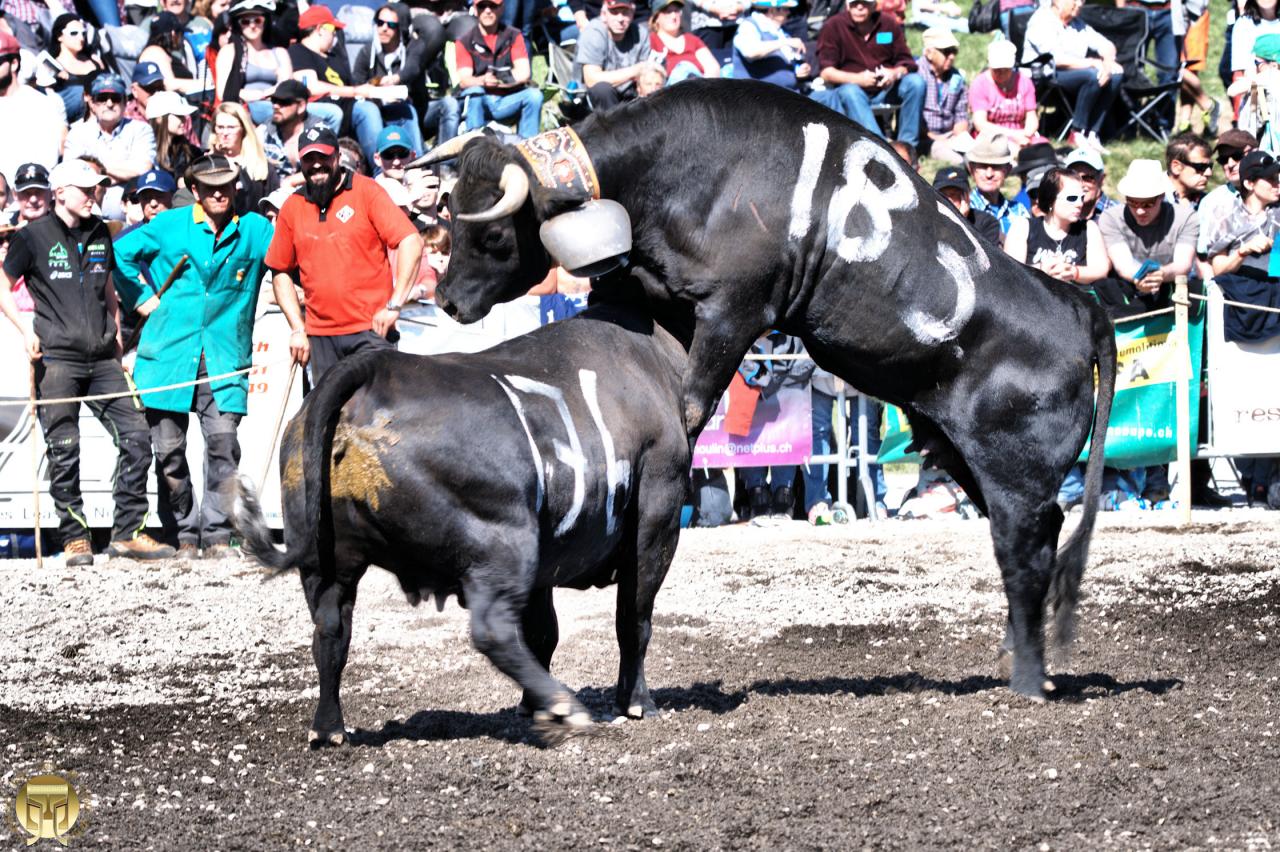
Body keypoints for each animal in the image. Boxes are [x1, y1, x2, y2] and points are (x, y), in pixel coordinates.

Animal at [230, 301, 691, 741]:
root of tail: (375, 369)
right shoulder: (658, 514)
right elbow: (633, 617)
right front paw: (635, 702)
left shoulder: (548, 559)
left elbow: (545, 629)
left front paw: (532, 704)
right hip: (504, 542)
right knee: (493, 630)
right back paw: (566, 708)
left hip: (327, 559)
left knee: (330, 630)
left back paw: (328, 728)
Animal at [414, 79, 1116, 701]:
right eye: (446, 215)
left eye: (494, 234)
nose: (446, 299)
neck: (682, 169)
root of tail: (1080, 307)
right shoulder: (652, 291)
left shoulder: (734, 313)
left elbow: (691, 407)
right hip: (968, 456)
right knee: (1042, 537)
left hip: (1016, 476)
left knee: (1026, 552)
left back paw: (1028, 678)